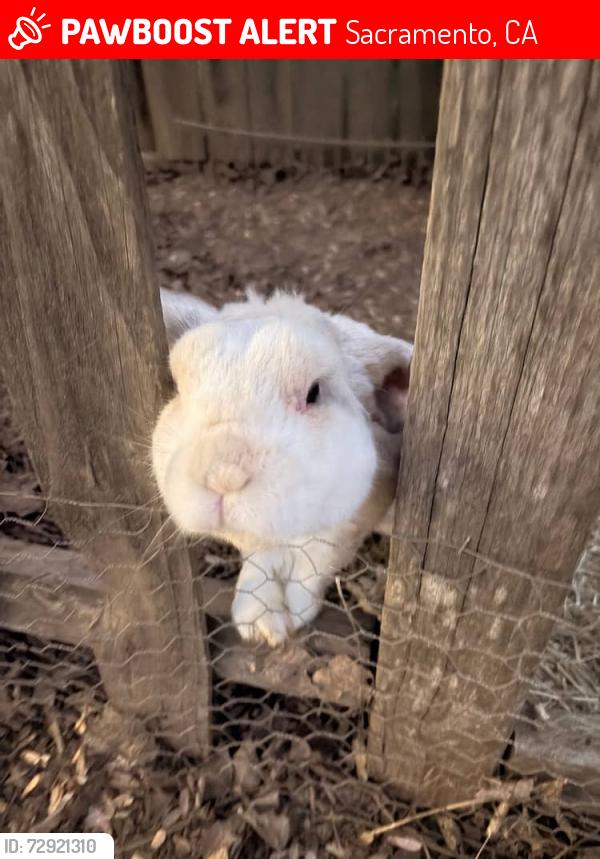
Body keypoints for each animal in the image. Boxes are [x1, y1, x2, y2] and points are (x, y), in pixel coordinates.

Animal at [153, 287, 412, 646]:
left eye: (314, 393)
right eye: (177, 387)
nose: (222, 474)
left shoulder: (344, 527)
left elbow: (313, 564)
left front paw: (291, 615)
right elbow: (262, 561)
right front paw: (259, 623)